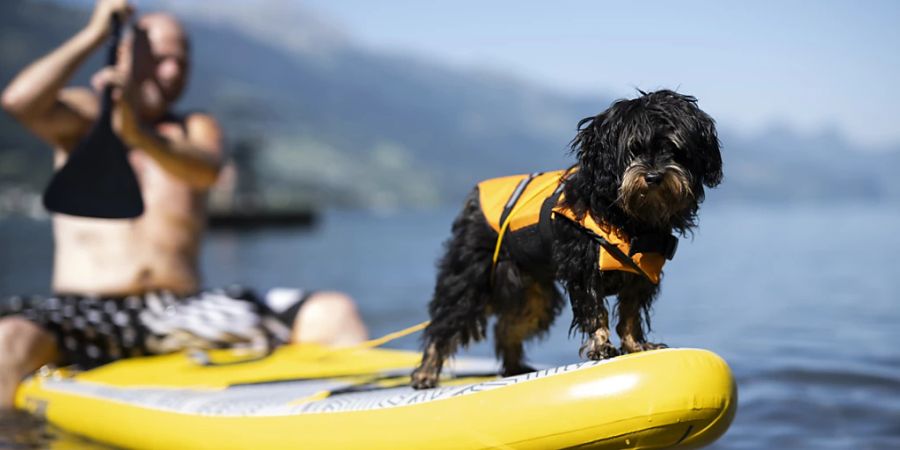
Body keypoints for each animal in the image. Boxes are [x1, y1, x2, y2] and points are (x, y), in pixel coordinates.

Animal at [412, 89, 720, 388]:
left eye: (673, 149)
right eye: (633, 150)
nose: (654, 176)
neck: (628, 217)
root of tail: (474, 201)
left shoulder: (642, 273)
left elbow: (631, 312)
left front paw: (637, 345)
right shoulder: (584, 266)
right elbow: (595, 310)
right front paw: (601, 346)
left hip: (533, 293)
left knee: (507, 327)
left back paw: (515, 367)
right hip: (471, 277)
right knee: (445, 322)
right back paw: (425, 374)